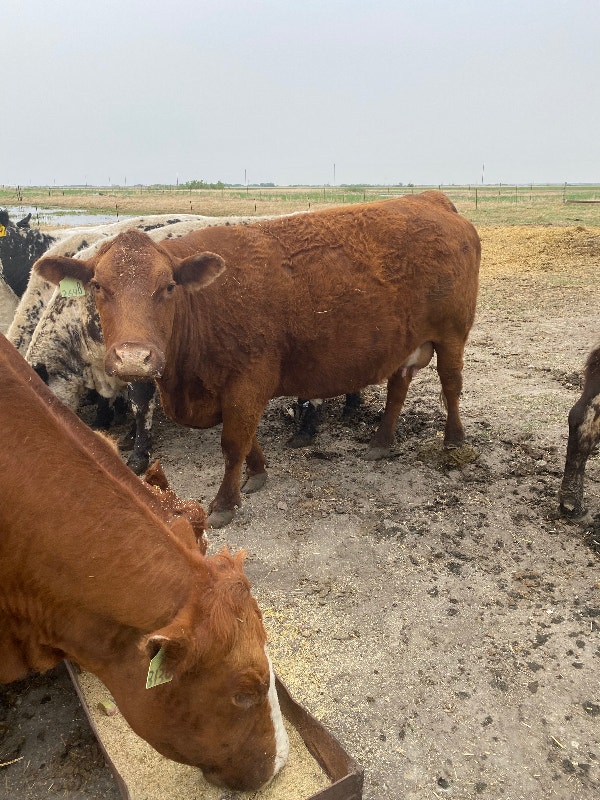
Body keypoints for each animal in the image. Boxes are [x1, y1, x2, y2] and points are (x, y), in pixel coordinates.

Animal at [35, 190, 481, 528]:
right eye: (97, 286)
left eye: (168, 287)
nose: (133, 358)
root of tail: (431, 199)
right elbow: (247, 439)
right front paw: (258, 473)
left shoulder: (247, 381)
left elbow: (234, 441)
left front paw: (224, 504)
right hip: (407, 344)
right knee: (398, 386)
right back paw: (382, 441)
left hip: (452, 334)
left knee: (451, 384)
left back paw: (453, 439)